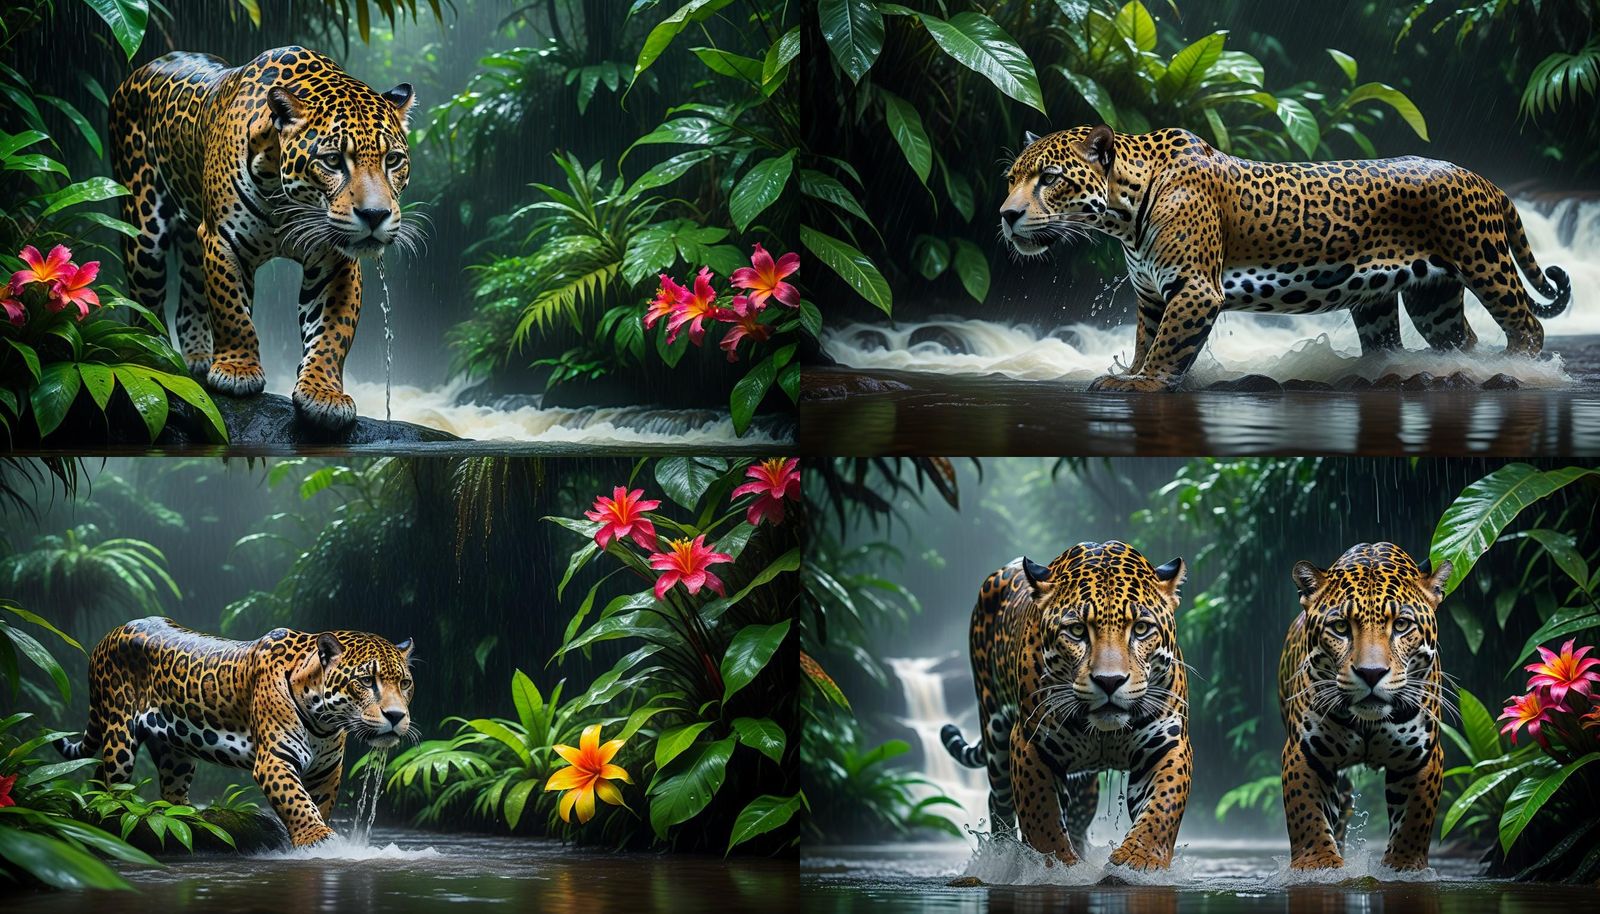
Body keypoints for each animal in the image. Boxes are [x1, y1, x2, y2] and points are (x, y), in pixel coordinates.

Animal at [56, 617, 416, 847]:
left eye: (405, 683)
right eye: (366, 681)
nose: (396, 716)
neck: (324, 721)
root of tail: (109, 634)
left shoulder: (327, 770)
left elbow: (319, 803)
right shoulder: (275, 759)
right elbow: (297, 800)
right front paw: (318, 837)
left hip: (175, 752)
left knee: (165, 787)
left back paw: (187, 818)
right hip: (119, 734)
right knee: (109, 781)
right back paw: (110, 815)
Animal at [110, 46, 419, 428]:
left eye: (393, 160)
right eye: (333, 161)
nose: (375, 215)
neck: (287, 200)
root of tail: (140, 69)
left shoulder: (335, 259)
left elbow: (332, 332)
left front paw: (324, 393)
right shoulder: (222, 240)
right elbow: (232, 312)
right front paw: (237, 371)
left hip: (192, 237)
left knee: (188, 302)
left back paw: (195, 360)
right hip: (144, 233)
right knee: (145, 308)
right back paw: (155, 364)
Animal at [941, 541, 1192, 870]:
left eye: (1140, 629)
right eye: (1076, 631)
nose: (1109, 681)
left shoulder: (1166, 741)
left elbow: (1163, 806)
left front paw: (1139, 859)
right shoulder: (1031, 743)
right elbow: (1042, 816)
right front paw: (1053, 865)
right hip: (995, 735)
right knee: (1000, 804)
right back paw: (1000, 854)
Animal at [1000, 125, 1572, 391]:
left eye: (1049, 178)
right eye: (1011, 179)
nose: (1005, 214)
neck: (1124, 213)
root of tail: (1484, 179)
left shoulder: (1194, 289)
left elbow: (1166, 348)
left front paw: (1142, 383)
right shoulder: (1150, 295)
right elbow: (1145, 340)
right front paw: (1129, 372)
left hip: (1485, 263)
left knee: (1528, 326)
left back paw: (1518, 372)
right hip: (1429, 298)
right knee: (1456, 339)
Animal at [1278, 542, 1451, 871]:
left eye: (1401, 625)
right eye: (1340, 627)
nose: (1371, 673)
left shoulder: (1421, 756)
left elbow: (1414, 820)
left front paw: (1404, 865)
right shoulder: (1304, 752)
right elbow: (1307, 814)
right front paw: (1319, 863)